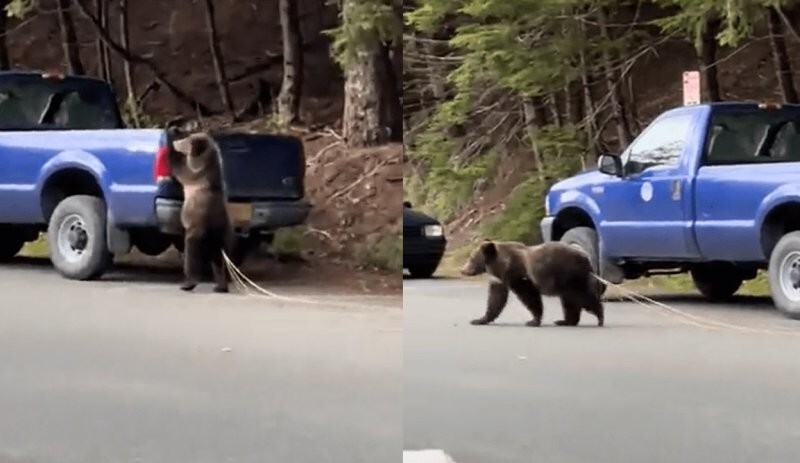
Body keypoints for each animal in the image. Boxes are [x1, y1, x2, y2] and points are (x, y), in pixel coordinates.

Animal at [167, 130, 233, 294]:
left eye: (186, 141)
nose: (176, 142)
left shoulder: (198, 173)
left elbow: (183, 170)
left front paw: (171, 149)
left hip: (197, 232)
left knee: (192, 257)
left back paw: (187, 283)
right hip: (220, 238)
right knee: (218, 261)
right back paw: (220, 286)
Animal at [460, 241, 604, 328]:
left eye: (471, 258)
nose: (462, 270)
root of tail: (586, 258)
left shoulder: (520, 277)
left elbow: (529, 297)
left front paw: (532, 321)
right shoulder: (501, 280)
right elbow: (496, 299)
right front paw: (480, 319)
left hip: (570, 277)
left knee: (582, 297)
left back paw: (599, 317)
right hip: (566, 283)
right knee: (570, 302)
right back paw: (565, 321)